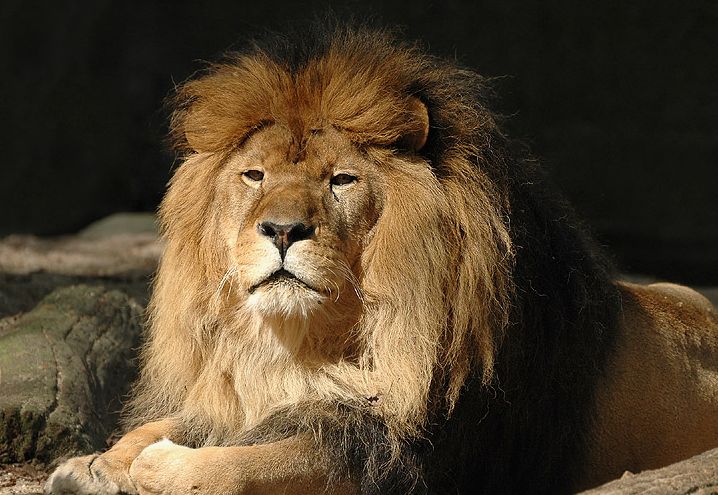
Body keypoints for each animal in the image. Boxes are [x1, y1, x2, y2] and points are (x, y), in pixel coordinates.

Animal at [45, 24, 718, 495]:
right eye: (254, 175)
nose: (282, 229)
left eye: (341, 180)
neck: (304, 344)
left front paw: (157, 468)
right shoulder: (248, 391)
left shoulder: (404, 454)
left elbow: (258, 462)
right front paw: (95, 463)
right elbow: (175, 424)